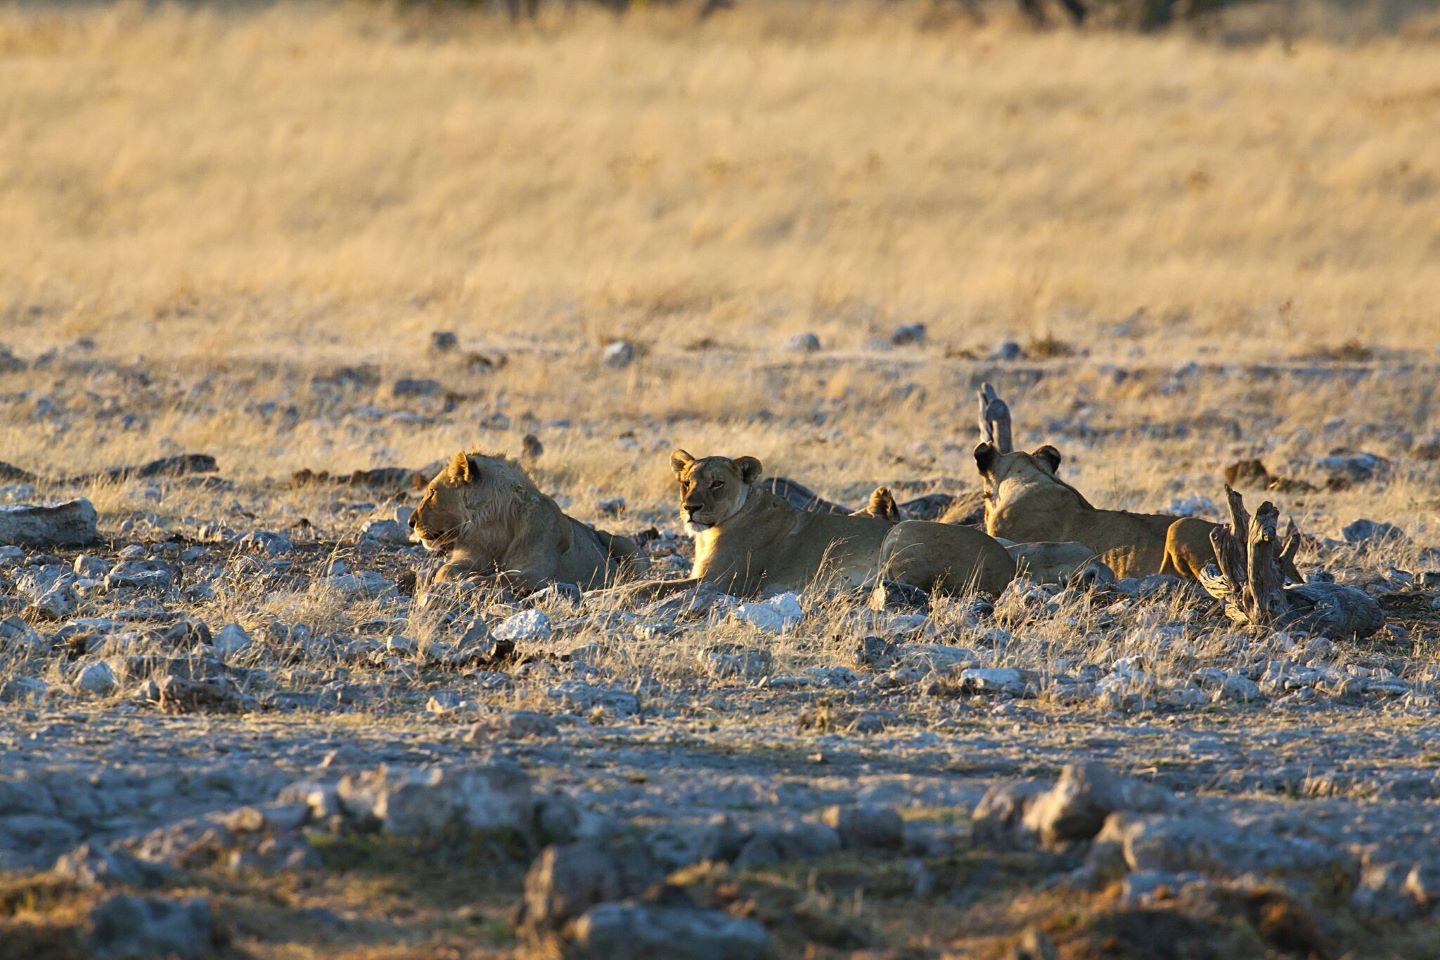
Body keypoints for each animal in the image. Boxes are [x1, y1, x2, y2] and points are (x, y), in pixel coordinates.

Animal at [408, 451, 639, 592]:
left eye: (432, 491)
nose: (410, 522)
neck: (492, 527)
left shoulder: (538, 573)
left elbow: (503, 577)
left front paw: (474, 580)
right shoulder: (471, 554)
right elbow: (445, 570)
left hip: (624, 543)